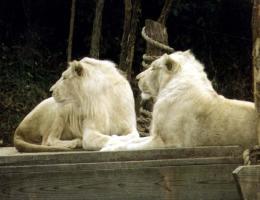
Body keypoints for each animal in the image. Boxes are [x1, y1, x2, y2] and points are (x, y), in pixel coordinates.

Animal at [101, 50, 258, 152]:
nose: (137, 78)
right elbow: (134, 140)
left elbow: (131, 146)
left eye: (153, 67)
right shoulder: (156, 135)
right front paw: (110, 143)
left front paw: (108, 149)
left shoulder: (167, 143)